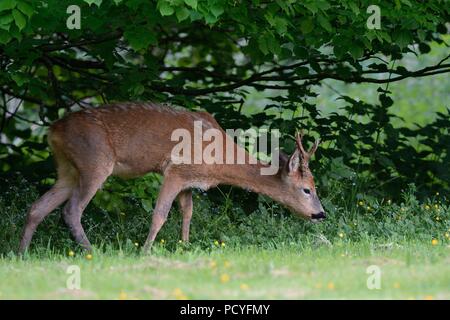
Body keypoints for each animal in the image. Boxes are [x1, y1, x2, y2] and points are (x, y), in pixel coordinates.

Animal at [19, 102, 326, 252]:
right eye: (307, 189)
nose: (320, 214)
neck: (219, 159)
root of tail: (52, 130)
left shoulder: (189, 181)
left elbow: (187, 213)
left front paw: (185, 247)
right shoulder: (175, 171)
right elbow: (160, 214)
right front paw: (145, 251)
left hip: (68, 169)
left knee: (37, 207)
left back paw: (21, 253)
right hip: (95, 162)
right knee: (71, 210)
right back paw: (91, 251)